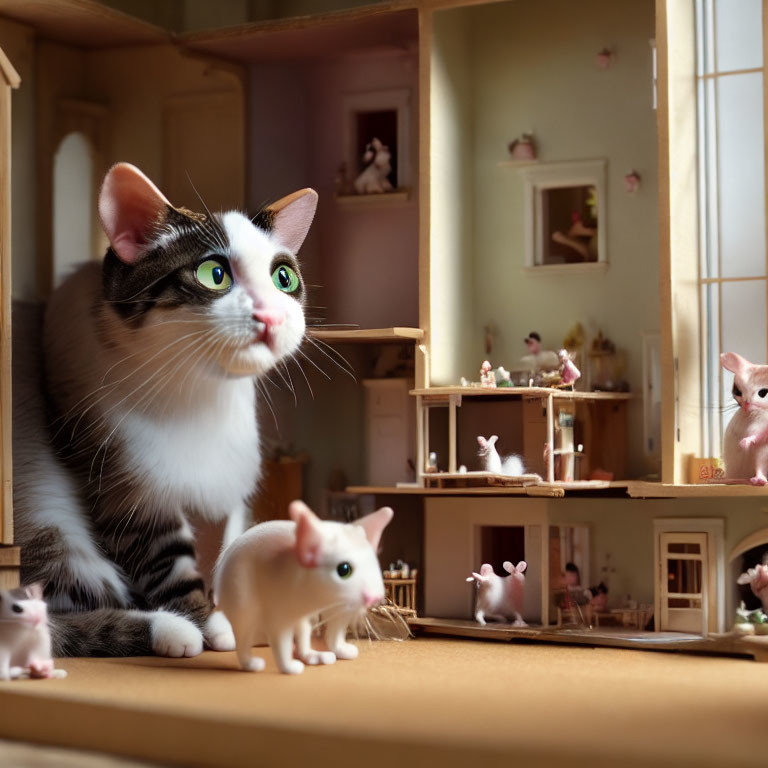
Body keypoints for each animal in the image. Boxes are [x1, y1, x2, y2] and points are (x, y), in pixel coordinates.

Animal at [9, 162, 316, 656]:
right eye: (215, 274)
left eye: (283, 278)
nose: (272, 315)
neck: (200, 395)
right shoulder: (126, 481)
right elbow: (168, 564)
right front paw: (205, 622)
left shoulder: (229, 483)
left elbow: (227, 547)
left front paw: (236, 612)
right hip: (47, 515)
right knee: (56, 616)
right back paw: (167, 629)